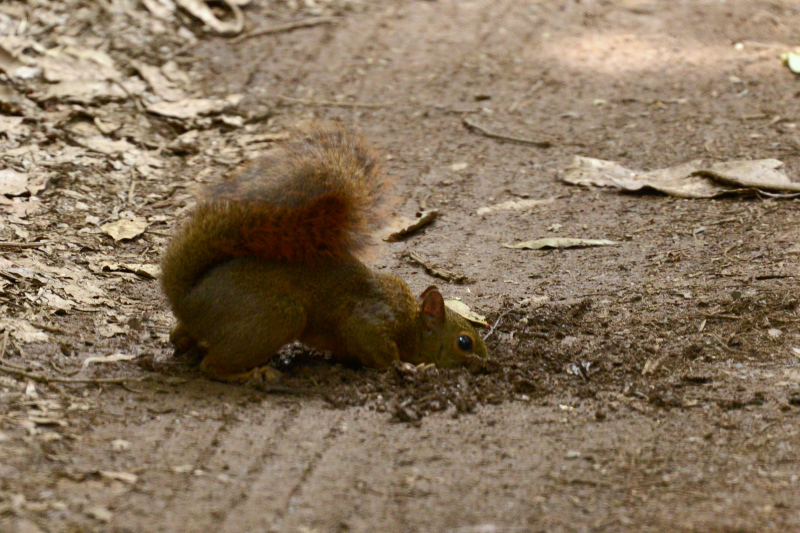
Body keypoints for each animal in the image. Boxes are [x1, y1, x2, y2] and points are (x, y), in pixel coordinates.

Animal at [161, 122, 488, 380]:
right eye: (465, 342)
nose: (486, 365)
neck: (411, 319)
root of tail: (186, 298)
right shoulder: (370, 320)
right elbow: (376, 348)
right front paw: (407, 367)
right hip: (276, 317)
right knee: (211, 366)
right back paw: (254, 375)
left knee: (182, 337)